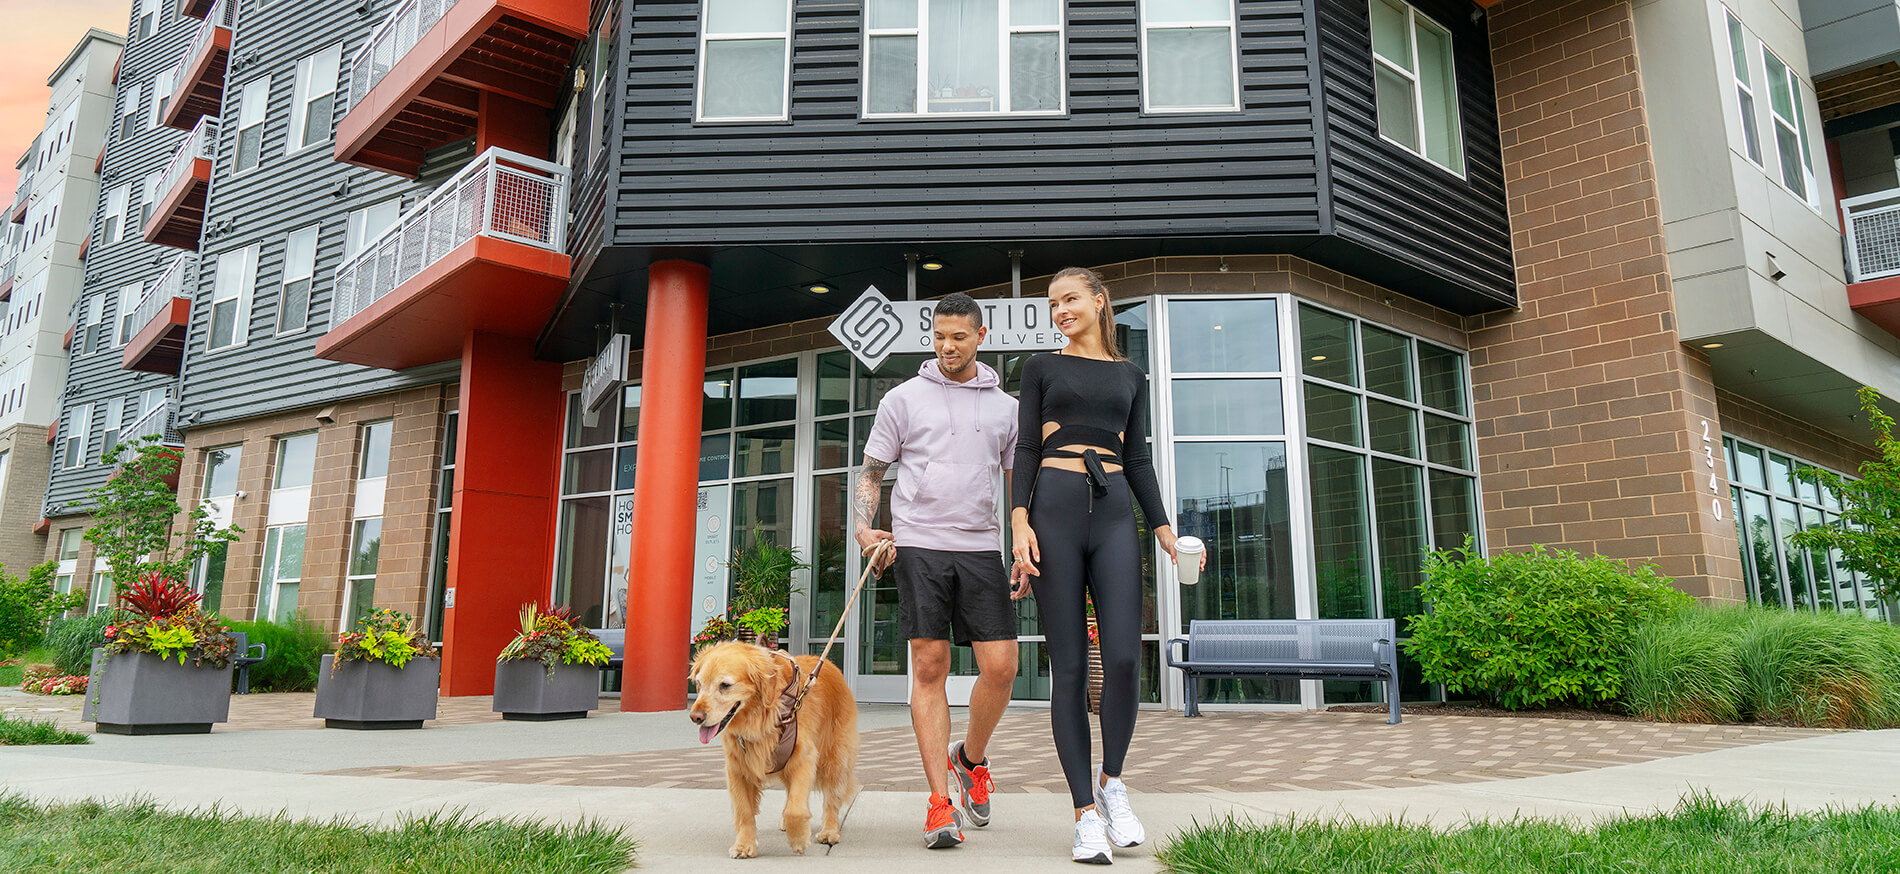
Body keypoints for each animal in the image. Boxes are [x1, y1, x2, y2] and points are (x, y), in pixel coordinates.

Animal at [691, 638, 862, 858]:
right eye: (700, 683)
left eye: (725, 685)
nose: (695, 717)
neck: (759, 717)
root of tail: (831, 666)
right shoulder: (737, 767)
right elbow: (744, 810)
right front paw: (744, 845)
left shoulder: (804, 756)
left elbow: (796, 808)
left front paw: (798, 838)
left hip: (836, 757)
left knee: (832, 797)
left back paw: (830, 831)